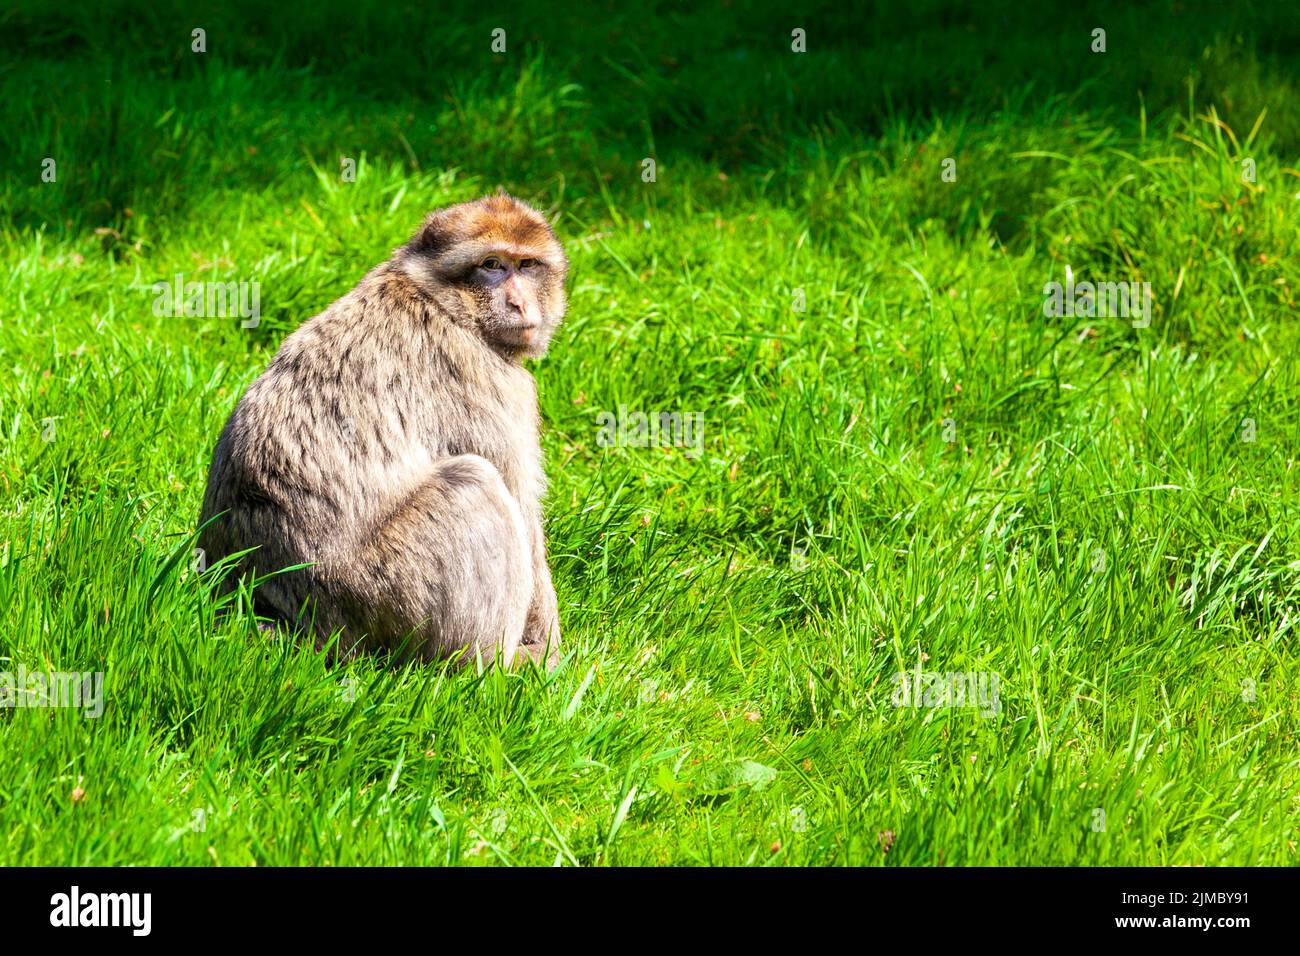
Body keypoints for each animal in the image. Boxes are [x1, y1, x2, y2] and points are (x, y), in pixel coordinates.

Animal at [196, 193, 569, 671]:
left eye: (526, 265)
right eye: (492, 265)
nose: (521, 304)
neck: (442, 301)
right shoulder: (489, 381)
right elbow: (521, 506)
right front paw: (548, 649)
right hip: (380, 590)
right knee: (472, 483)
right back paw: (490, 665)